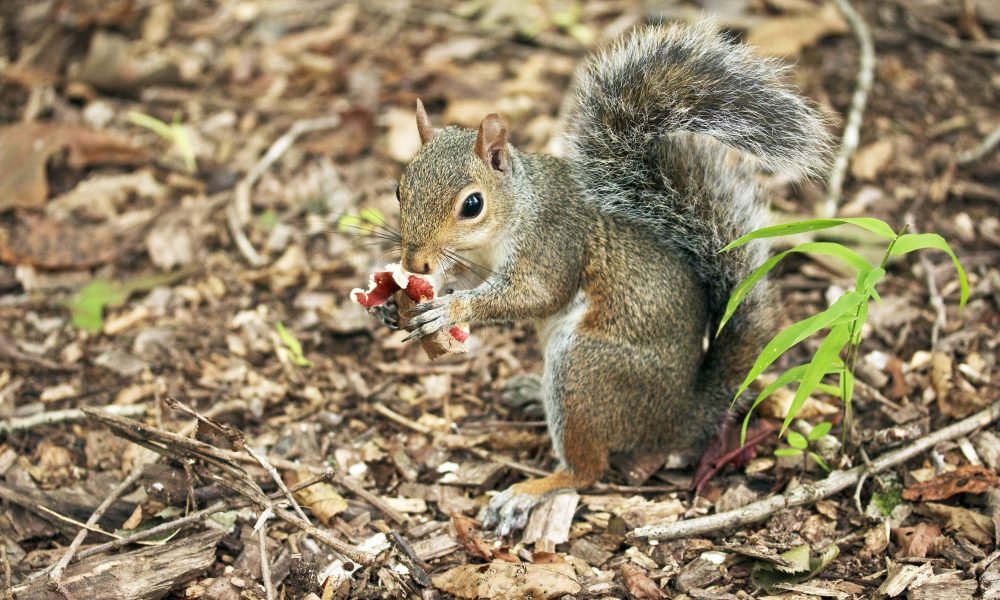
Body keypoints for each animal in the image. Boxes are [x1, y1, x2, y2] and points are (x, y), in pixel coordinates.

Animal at [394, 22, 830, 535]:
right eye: (399, 189)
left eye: (473, 204)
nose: (415, 262)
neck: (517, 208)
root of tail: (679, 417)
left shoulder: (554, 243)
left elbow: (536, 295)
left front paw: (450, 307)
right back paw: (529, 393)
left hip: (585, 370)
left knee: (587, 471)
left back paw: (527, 493)